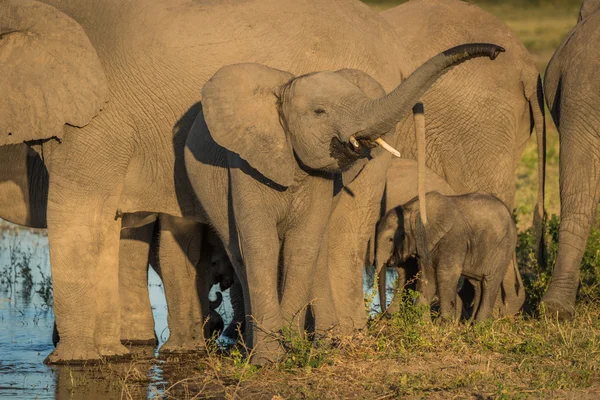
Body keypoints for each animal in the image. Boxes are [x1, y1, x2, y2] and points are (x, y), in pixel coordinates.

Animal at [378, 191, 516, 322]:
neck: (412, 207)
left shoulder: (454, 238)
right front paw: (424, 325)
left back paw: (479, 325)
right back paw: (470, 325)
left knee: (489, 283)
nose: (386, 315)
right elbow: (427, 277)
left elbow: (446, 274)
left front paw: (444, 326)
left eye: (391, 239)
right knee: (477, 285)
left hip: (503, 248)